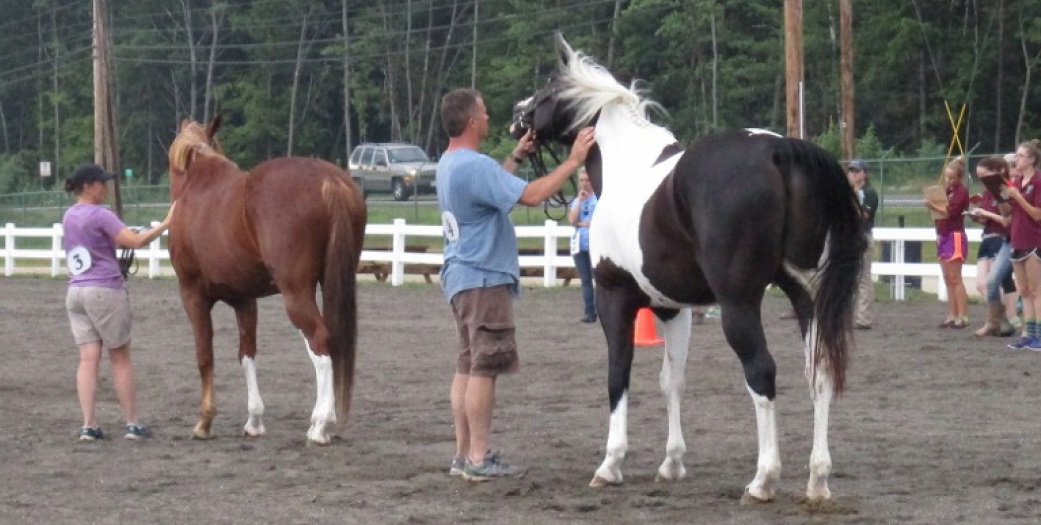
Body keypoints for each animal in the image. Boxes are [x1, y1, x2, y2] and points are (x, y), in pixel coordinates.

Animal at [167, 116, 367, 444]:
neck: (197, 188)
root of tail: (330, 181)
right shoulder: (244, 299)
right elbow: (247, 355)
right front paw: (254, 420)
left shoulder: (192, 294)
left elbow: (205, 355)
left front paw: (204, 421)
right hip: (332, 283)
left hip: (296, 294)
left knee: (320, 343)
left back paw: (320, 425)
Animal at [511, 34, 864, 503]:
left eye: (548, 88)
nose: (517, 118)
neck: (626, 167)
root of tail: (780, 149)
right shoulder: (672, 308)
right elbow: (671, 379)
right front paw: (671, 462)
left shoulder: (613, 296)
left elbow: (618, 374)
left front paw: (611, 464)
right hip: (807, 296)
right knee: (819, 372)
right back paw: (818, 480)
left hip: (739, 305)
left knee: (761, 372)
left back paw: (763, 480)